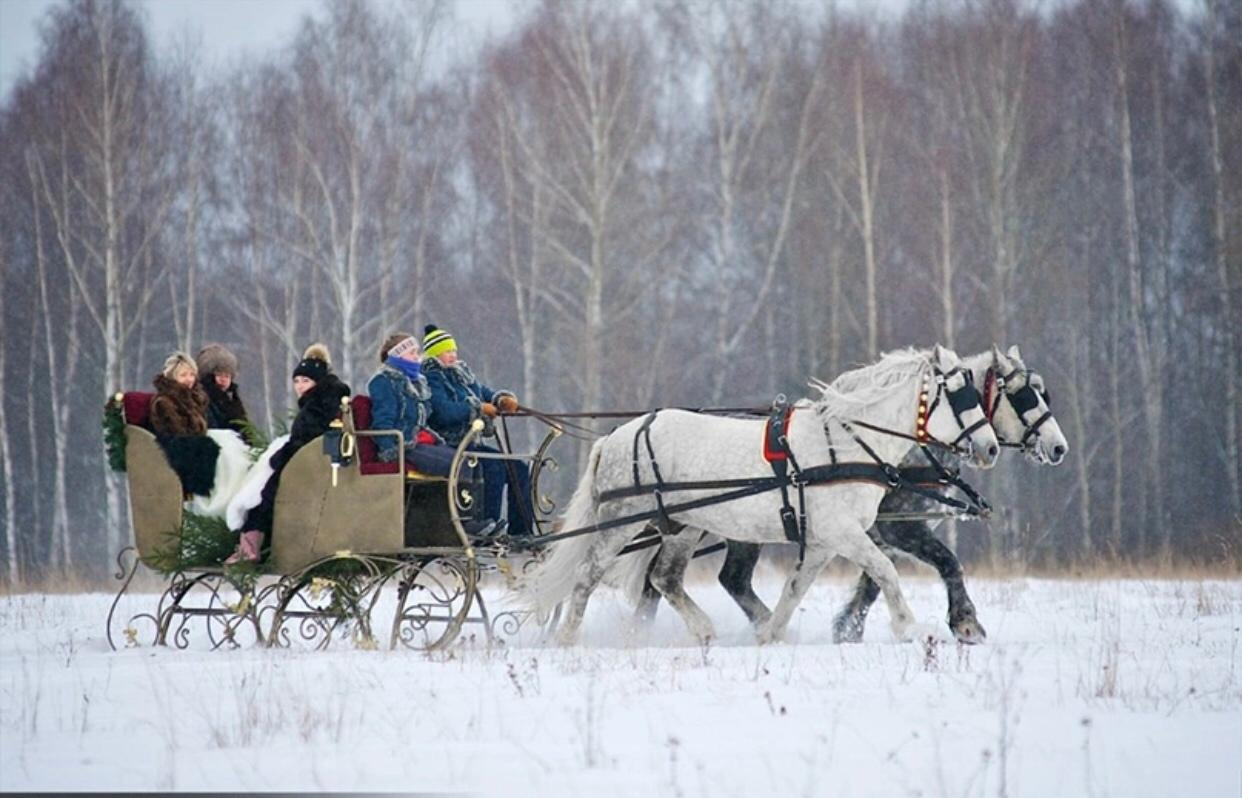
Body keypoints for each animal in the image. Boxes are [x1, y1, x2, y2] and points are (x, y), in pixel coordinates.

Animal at [521, 347, 998, 645]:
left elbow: (795, 587)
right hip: (624, 517)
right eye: (961, 395)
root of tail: (617, 435)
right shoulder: (844, 533)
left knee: (665, 578)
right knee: (588, 575)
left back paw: (702, 630)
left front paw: (771, 633)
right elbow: (885, 571)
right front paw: (910, 628)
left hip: (681, 525)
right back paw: (566, 638)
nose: (991, 448)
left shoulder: (823, 542)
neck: (847, 445)